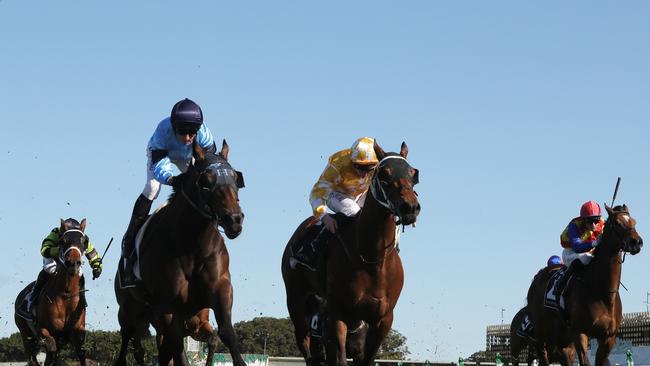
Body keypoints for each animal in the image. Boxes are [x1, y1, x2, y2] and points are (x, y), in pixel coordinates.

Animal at [14, 219, 90, 366]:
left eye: (84, 241)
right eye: (62, 241)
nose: (73, 263)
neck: (66, 294)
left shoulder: (77, 332)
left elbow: (81, 353)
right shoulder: (44, 330)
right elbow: (51, 348)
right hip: (25, 333)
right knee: (33, 358)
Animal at [114, 139, 246, 366]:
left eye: (235, 179)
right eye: (205, 182)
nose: (234, 220)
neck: (193, 246)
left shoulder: (220, 289)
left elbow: (226, 333)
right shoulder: (168, 307)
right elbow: (178, 350)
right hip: (129, 312)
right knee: (128, 346)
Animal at [280, 142, 420, 366]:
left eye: (413, 173)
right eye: (384, 173)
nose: (410, 207)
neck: (372, 259)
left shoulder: (383, 320)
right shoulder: (338, 314)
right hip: (295, 298)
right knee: (305, 345)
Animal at [524, 204, 640, 366]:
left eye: (634, 222)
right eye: (617, 223)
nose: (637, 242)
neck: (602, 291)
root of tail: (537, 277)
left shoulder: (608, 337)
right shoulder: (580, 332)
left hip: (563, 337)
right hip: (542, 331)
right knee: (543, 356)